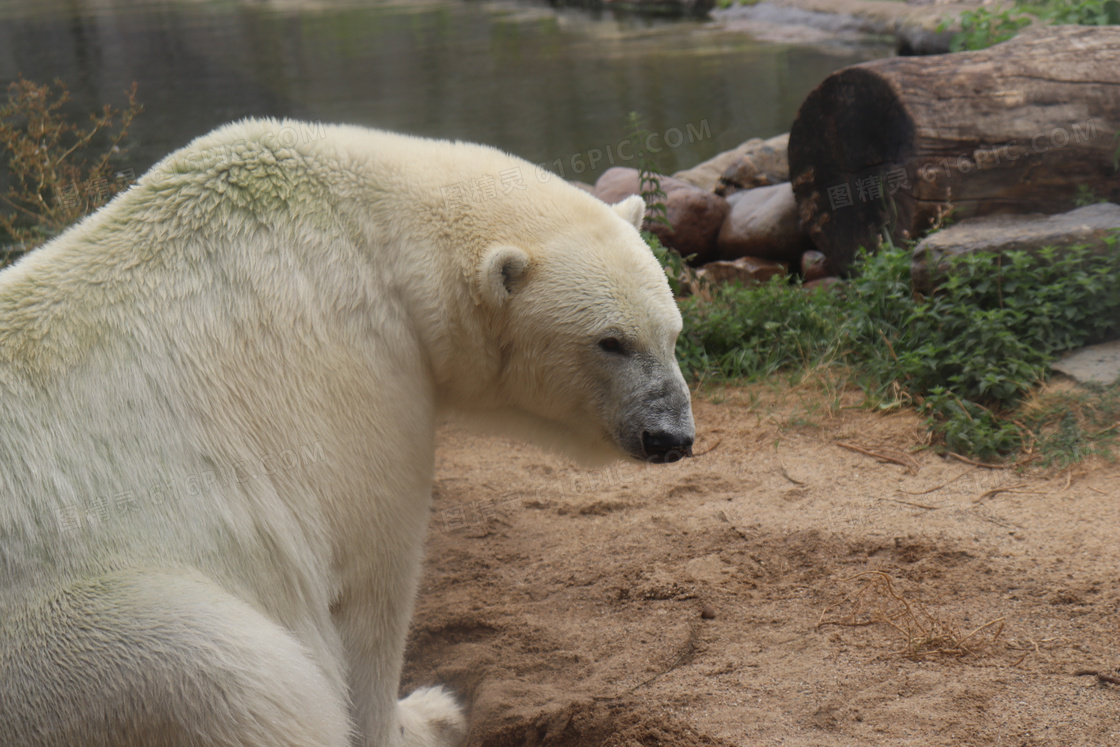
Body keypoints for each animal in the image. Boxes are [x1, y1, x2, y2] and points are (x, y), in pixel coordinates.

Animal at [0, 119, 689, 743]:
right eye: (611, 341)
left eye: (672, 332)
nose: (672, 437)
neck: (369, 232)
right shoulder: (356, 383)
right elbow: (369, 591)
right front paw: (428, 716)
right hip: (88, 644)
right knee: (235, 676)